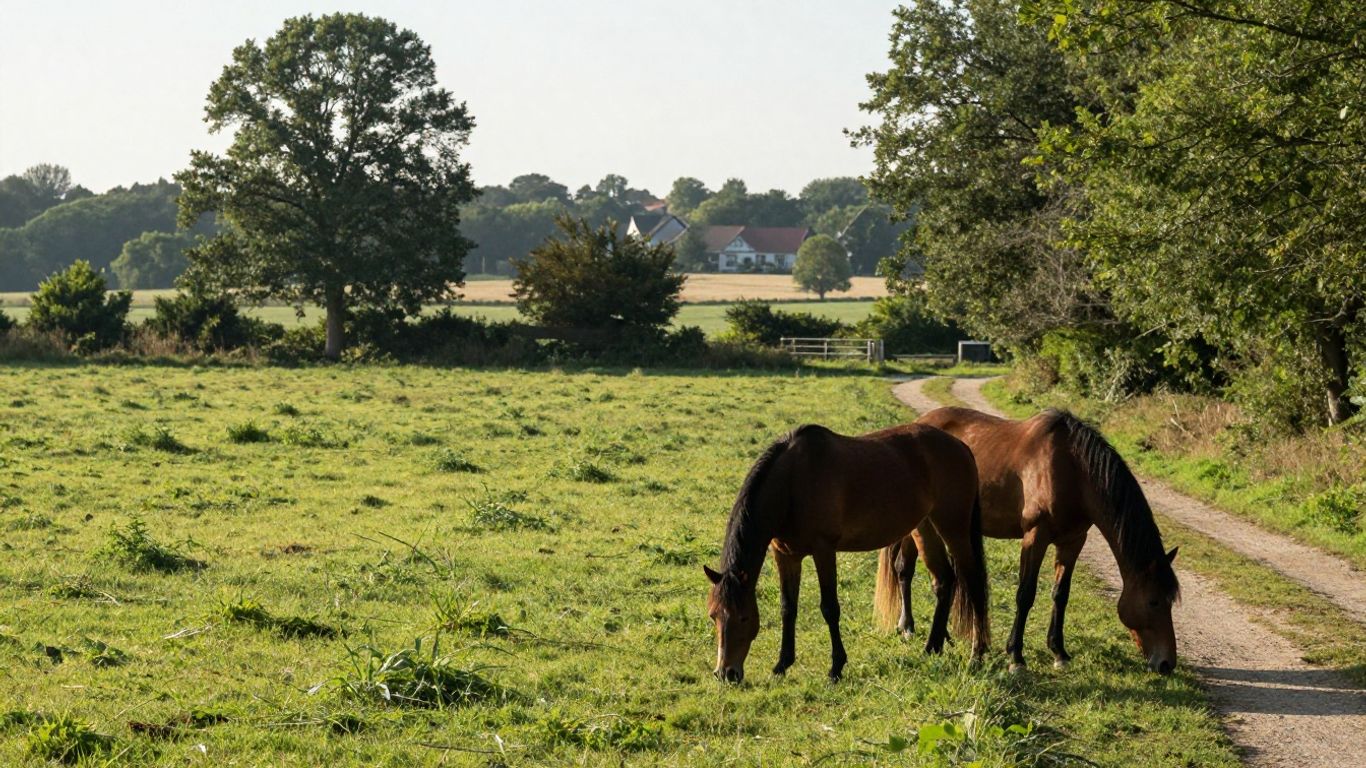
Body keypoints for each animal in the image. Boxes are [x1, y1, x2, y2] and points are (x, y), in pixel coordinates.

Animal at [704, 423, 990, 684]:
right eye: (713, 615)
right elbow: (788, 607)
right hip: (925, 527)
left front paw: (836, 668)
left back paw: (977, 654)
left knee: (974, 583)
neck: (792, 483)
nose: (726, 673)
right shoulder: (786, 555)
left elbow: (829, 608)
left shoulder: (824, 550)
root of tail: (961, 446)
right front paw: (782, 664)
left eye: (743, 618)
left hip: (953, 528)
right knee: (944, 581)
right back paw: (932, 647)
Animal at [876, 407, 1180, 674]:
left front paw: (1059, 652)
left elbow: (1061, 594)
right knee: (904, 568)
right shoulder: (1035, 536)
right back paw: (907, 626)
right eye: (1153, 601)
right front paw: (1016, 657)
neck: (1073, 470)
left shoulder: (1073, 541)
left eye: (1170, 602)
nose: (1166, 664)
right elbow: (1025, 594)